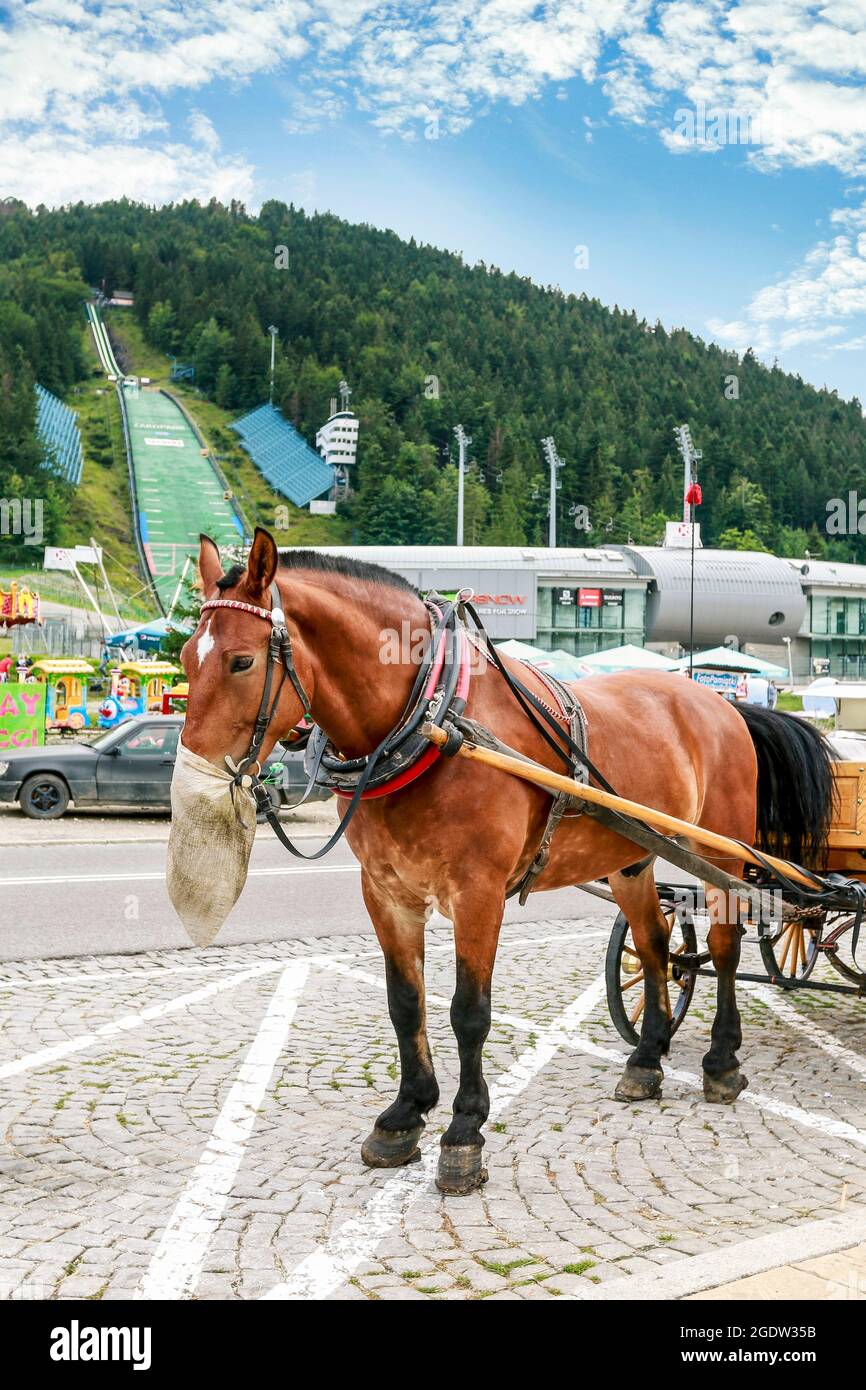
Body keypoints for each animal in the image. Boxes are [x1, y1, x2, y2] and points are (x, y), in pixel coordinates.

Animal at [167, 528, 834, 1195]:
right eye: (186, 660)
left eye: (242, 661)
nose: (194, 782)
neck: (434, 719)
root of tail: (722, 702)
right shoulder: (386, 892)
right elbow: (404, 1001)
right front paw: (404, 1115)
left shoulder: (478, 892)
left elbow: (469, 1012)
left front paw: (464, 1131)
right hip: (633, 857)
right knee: (652, 946)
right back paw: (646, 1062)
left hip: (721, 852)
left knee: (723, 947)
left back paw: (721, 1062)